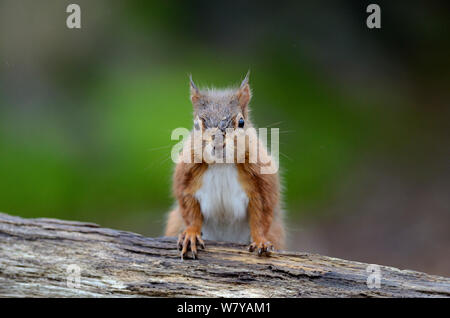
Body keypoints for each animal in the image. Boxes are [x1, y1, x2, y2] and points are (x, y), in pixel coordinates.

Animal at [165, 72, 284, 258]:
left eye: (241, 122)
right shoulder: (186, 179)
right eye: (197, 125)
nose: (218, 143)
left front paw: (261, 241)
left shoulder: (262, 183)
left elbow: (262, 216)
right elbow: (189, 209)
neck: (221, 164)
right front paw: (191, 234)